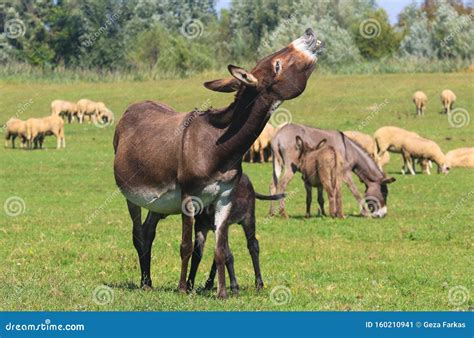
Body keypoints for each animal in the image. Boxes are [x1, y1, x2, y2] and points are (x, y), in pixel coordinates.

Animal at [113, 29, 324, 298]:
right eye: (277, 65)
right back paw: (145, 282)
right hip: (132, 197)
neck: (217, 146)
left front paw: (222, 292)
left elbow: (221, 249)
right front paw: (183, 289)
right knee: (138, 235)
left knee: (149, 233)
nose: (309, 33)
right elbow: (186, 245)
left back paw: (148, 282)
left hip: (157, 203)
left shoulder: (224, 198)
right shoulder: (189, 198)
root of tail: (134, 106)